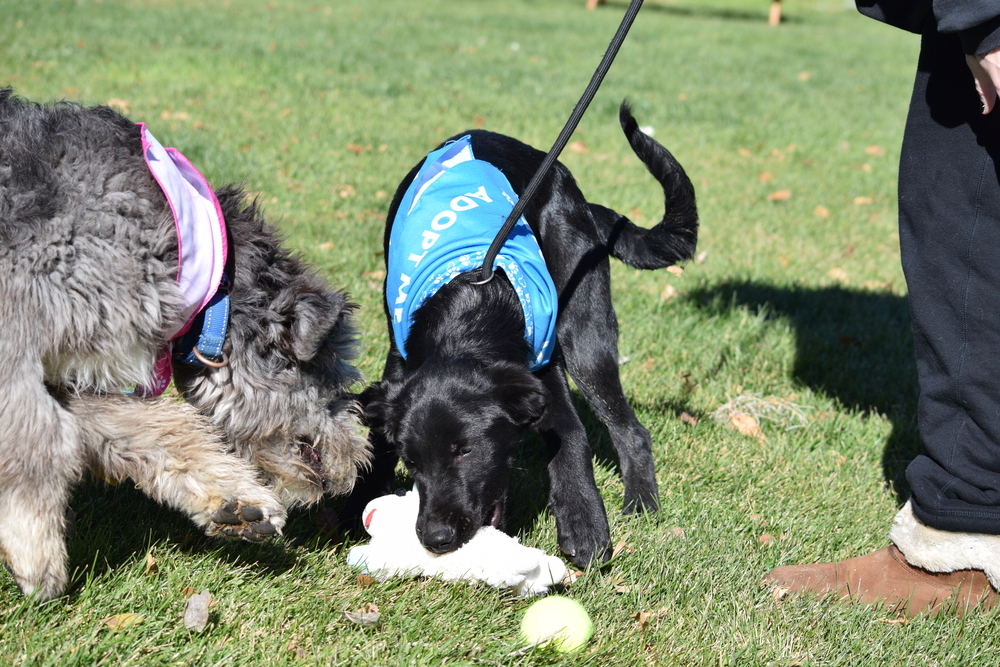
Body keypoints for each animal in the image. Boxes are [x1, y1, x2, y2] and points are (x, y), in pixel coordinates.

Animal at [0, 88, 372, 600]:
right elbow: (40, 435)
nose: (358, 460)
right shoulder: (16, 331)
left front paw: (235, 500)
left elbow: (154, 428)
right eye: (336, 377)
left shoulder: (70, 365)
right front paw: (33, 547)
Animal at [344, 102, 696, 568]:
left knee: (631, 430)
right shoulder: (398, 365)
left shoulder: (543, 371)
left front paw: (583, 521)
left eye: (466, 450)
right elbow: (378, 436)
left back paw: (640, 503)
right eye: (412, 461)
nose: (435, 538)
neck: (469, 313)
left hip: (586, 335)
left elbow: (572, 436)